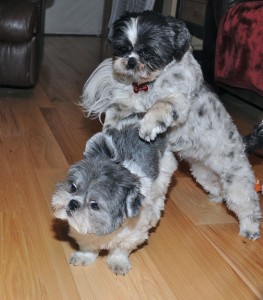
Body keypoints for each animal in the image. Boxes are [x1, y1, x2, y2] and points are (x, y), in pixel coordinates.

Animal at [52, 123, 177, 274]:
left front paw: (118, 262)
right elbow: (88, 245)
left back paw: (154, 216)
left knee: (159, 198)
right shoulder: (83, 232)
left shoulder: (132, 235)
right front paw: (84, 256)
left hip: (163, 177)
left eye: (94, 205)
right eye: (73, 187)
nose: (73, 203)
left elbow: (120, 249)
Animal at [81, 10, 262, 239]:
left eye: (149, 52)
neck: (148, 85)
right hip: (203, 171)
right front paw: (110, 129)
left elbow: (161, 105)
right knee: (217, 187)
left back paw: (250, 228)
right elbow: (117, 111)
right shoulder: (128, 103)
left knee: (247, 203)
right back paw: (216, 197)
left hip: (235, 177)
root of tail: (242, 144)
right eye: (123, 48)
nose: (130, 61)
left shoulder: (177, 100)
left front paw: (148, 128)